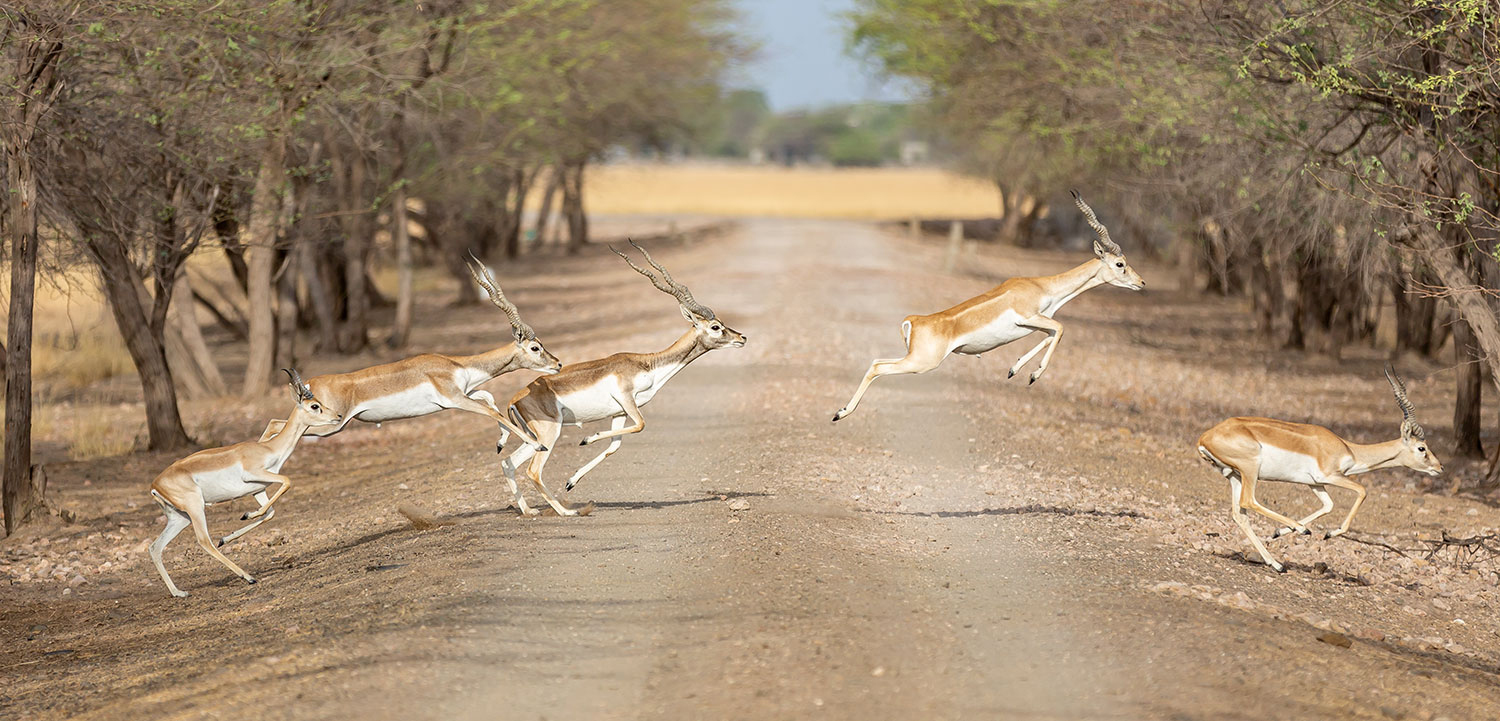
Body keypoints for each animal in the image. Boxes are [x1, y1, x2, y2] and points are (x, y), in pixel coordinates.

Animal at [147, 371, 343, 596]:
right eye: (314, 405)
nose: (338, 416)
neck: (269, 449)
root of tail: (155, 485)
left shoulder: (258, 489)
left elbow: (270, 512)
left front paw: (229, 535)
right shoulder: (255, 474)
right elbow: (287, 481)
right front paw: (246, 515)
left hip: (179, 517)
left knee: (155, 547)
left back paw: (179, 592)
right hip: (195, 508)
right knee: (204, 541)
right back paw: (248, 577)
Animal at [258, 257, 564, 446]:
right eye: (535, 347)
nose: (558, 363)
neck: (456, 365)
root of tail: (310, 382)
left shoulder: (466, 392)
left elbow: (489, 399)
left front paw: (501, 444)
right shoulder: (454, 399)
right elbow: (491, 411)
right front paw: (536, 444)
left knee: (275, 425)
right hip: (332, 424)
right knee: (276, 425)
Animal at [498, 241, 744, 515]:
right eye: (715, 327)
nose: (741, 337)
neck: (648, 364)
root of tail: (515, 399)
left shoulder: (618, 412)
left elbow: (614, 447)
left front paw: (572, 480)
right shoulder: (627, 399)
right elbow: (641, 425)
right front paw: (587, 438)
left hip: (535, 438)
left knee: (508, 462)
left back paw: (528, 511)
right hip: (550, 433)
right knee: (533, 470)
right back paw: (566, 511)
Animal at [840, 189, 1140, 422]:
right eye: (1119, 264)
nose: (1141, 282)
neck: (1042, 287)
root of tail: (914, 320)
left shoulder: (1036, 323)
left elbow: (1051, 334)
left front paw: (1015, 370)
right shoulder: (1028, 316)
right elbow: (1061, 328)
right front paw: (1034, 375)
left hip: (914, 359)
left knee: (875, 361)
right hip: (922, 363)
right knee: (878, 368)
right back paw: (841, 413)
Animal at [1194, 368, 1440, 569]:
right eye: (1422, 448)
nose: (1439, 467)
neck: (1348, 448)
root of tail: (1205, 437)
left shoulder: (1315, 484)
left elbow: (1328, 505)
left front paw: (1277, 533)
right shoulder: (1330, 476)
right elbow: (1362, 491)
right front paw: (1328, 534)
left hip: (1235, 475)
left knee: (1239, 514)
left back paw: (1277, 563)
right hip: (1250, 470)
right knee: (1248, 501)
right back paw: (1299, 531)